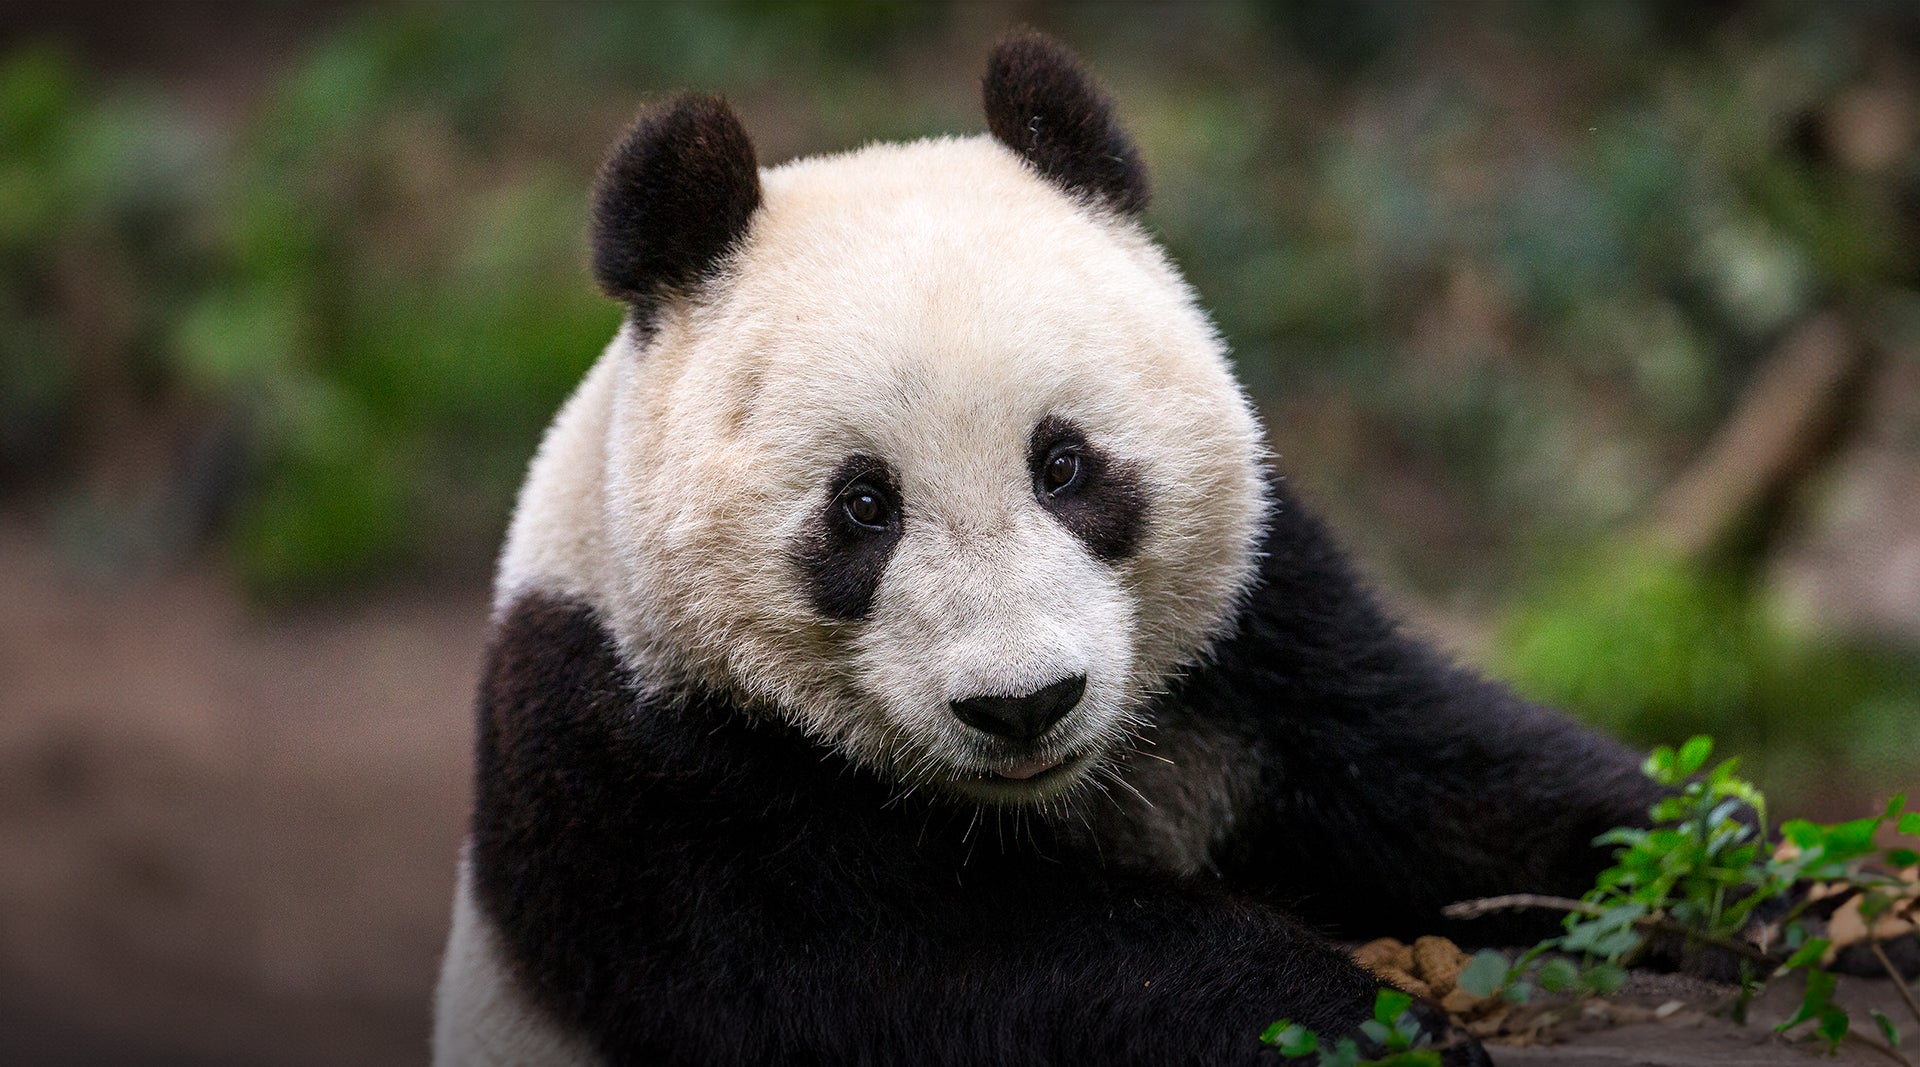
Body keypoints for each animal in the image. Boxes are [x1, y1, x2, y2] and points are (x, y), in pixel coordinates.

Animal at [433, 32, 1670, 1067]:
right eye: (864, 505)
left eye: (1064, 465)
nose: (1024, 703)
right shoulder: (637, 769)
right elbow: (939, 968)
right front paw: (1360, 1028)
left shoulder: (1263, 631)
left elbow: (1451, 782)